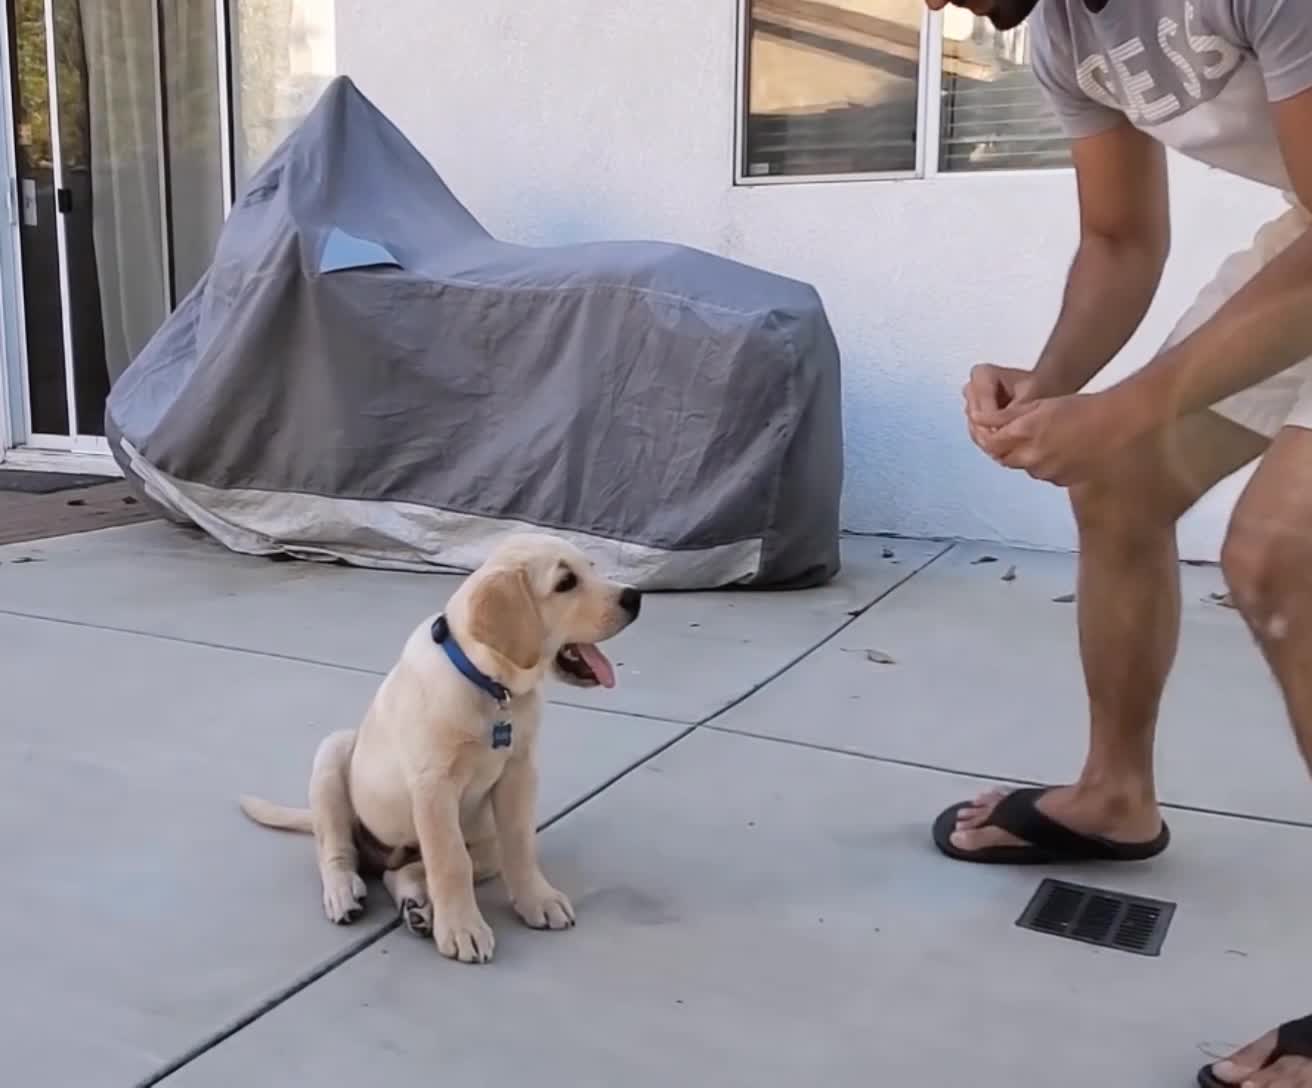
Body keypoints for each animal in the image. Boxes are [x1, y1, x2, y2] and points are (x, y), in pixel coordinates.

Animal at [242, 530, 645, 965]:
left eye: (591, 568)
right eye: (565, 583)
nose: (635, 597)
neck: (490, 685)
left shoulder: (519, 772)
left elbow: (519, 843)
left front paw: (537, 899)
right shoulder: (433, 784)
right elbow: (450, 861)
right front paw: (463, 929)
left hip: (482, 841)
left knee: (405, 870)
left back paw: (417, 908)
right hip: (333, 755)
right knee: (338, 848)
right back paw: (344, 891)